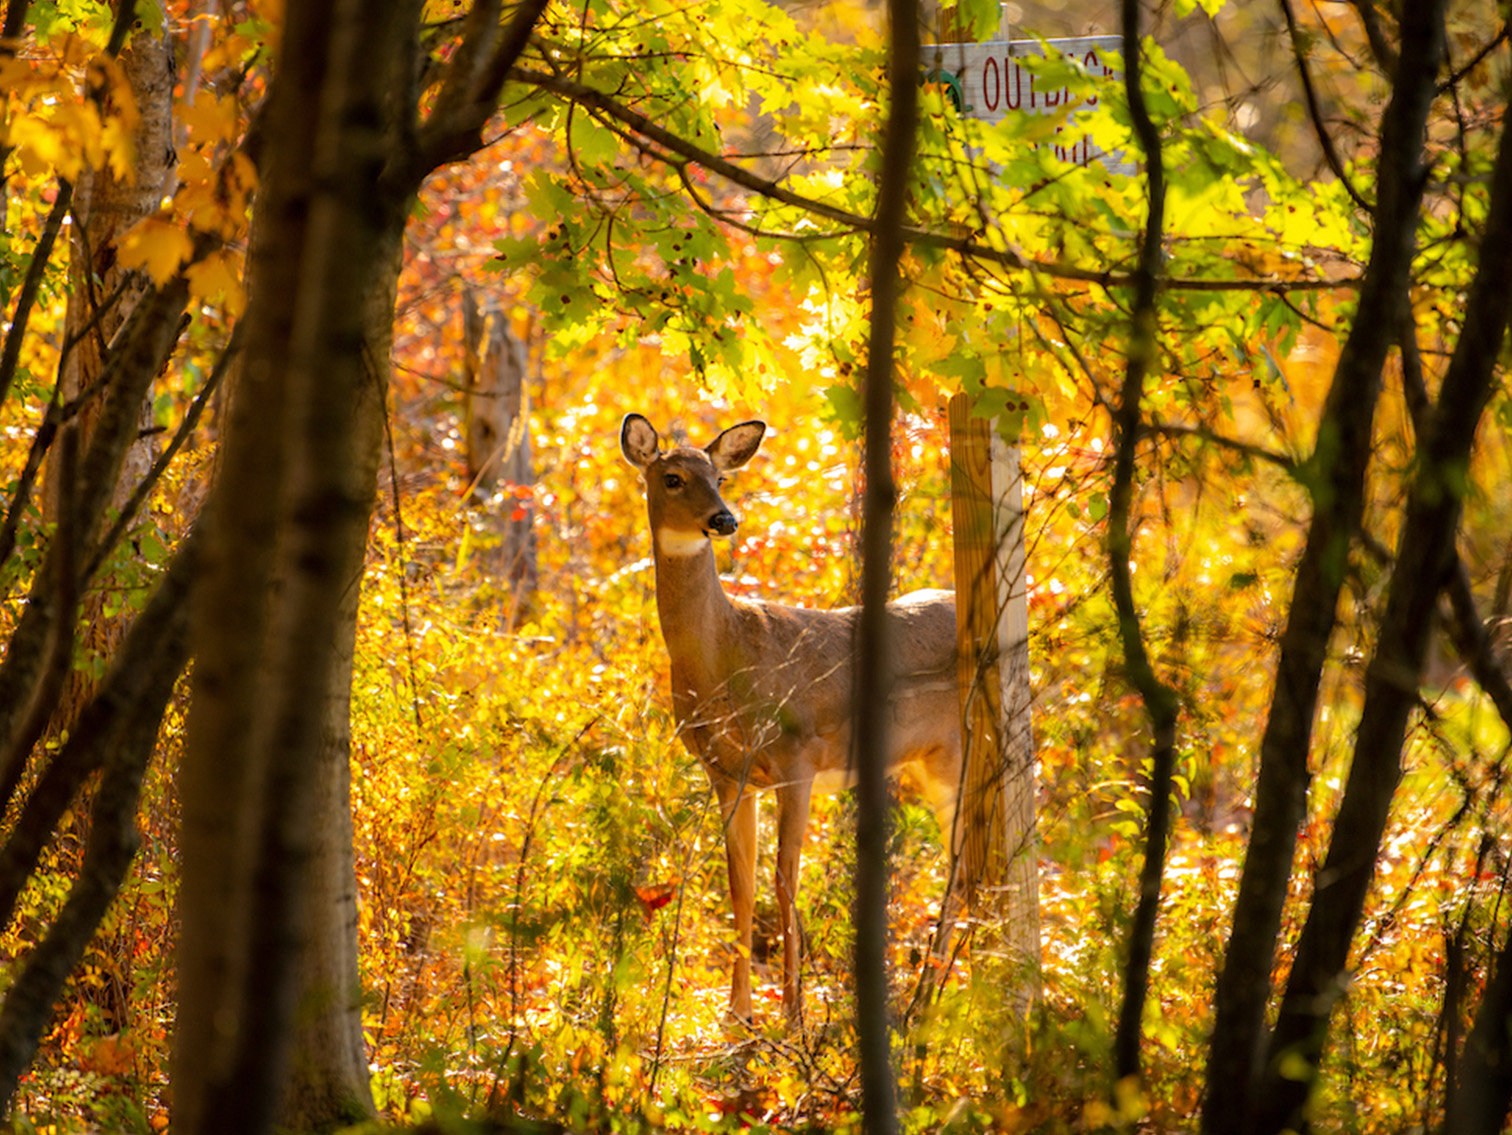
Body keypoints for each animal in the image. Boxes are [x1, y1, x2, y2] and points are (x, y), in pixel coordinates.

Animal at [620, 413, 963, 1024]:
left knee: (964, 858)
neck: (725, 657)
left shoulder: (797, 757)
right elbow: (740, 885)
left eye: (720, 478)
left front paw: (793, 1015)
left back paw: (933, 998)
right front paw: (737, 1015)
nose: (724, 519)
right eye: (673, 478)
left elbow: (784, 882)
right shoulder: (727, 772)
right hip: (924, 760)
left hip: (962, 746)